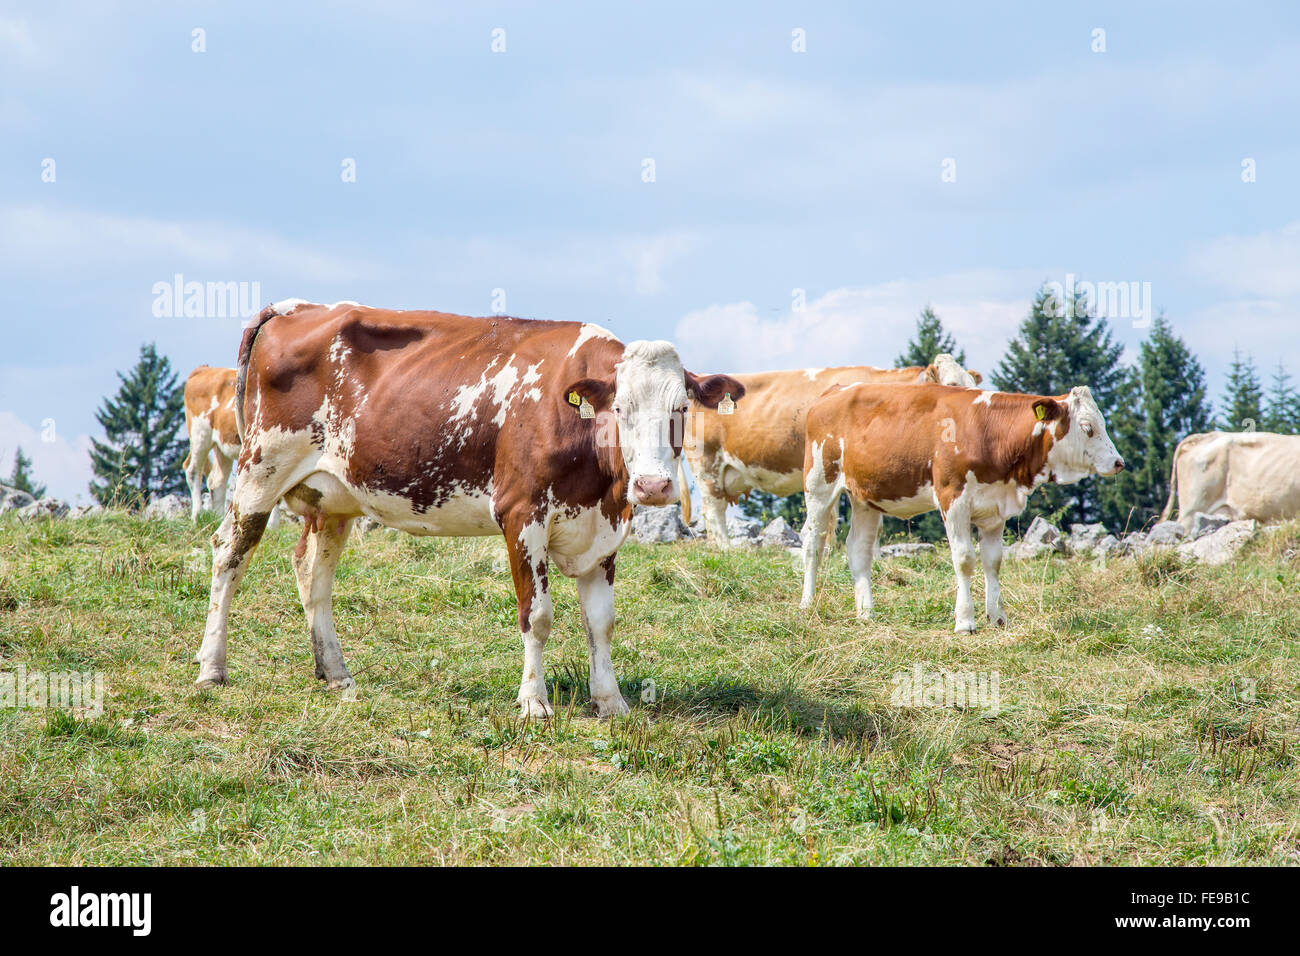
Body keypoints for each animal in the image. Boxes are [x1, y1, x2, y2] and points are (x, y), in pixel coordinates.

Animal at [193, 300, 744, 718]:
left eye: (682, 409)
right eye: (621, 409)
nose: (652, 485)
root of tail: (298, 306)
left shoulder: (604, 531)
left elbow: (601, 623)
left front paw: (610, 702)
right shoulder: (521, 515)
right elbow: (537, 615)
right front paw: (534, 702)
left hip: (333, 498)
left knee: (312, 573)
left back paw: (336, 674)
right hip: (261, 466)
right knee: (229, 552)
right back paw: (211, 668)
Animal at [799, 383, 1123, 632]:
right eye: (1087, 427)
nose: (1119, 462)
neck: (988, 432)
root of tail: (835, 390)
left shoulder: (995, 508)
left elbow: (993, 562)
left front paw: (997, 617)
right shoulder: (952, 500)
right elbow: (965, 559)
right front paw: (965, 621)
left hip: (866, 496)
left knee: (859, 549)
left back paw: (866, 612)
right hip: (818, 485)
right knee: (813, 545)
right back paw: (807, 604)